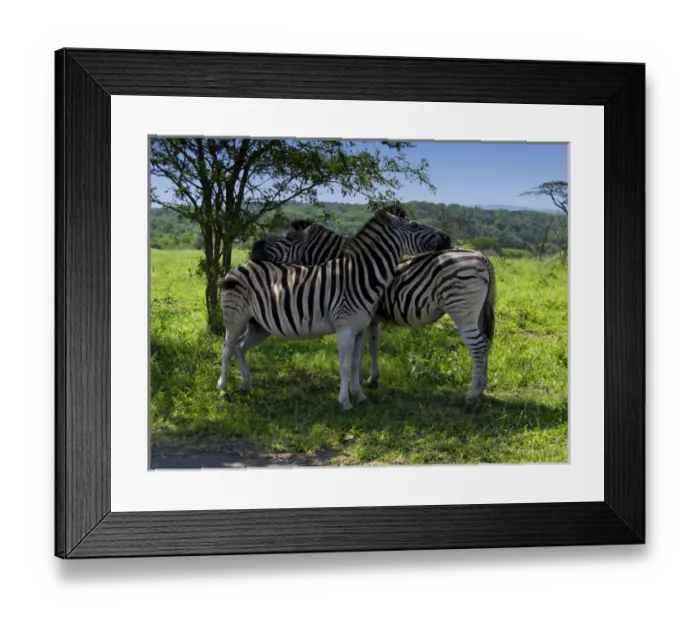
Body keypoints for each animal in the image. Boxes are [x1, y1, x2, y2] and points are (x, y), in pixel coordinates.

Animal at [217, 205, 451, 410]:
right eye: (414, 225)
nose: (447, 238)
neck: (360, 276)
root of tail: (238, 267)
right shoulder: (345, 329)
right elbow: (345, 366)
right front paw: (345, 402)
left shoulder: (359, 330)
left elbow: (356, 364)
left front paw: (360, 396)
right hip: (235, 318)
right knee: (227, 348)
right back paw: (222, 388)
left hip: (259, 325)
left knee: (240, 347)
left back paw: (246, 385)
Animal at [251, 220, 496, 401]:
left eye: (287, 238)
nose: (254, 249)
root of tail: (481, 256)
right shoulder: (370, 318)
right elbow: (372, 344)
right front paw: (372, 379)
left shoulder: (362, 317)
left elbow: (361, 352)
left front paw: (360, 382)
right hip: (478, 313)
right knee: (486, 343)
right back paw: (482, 385)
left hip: (462, 310)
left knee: (477, 346)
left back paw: (473, 395)